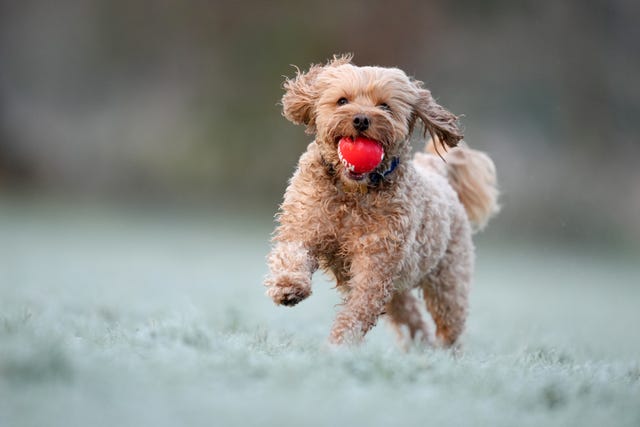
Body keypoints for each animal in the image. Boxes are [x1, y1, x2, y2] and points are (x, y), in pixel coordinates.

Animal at [262, 54, 498, 348]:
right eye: (342, 101)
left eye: (384, 106)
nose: (361, 119)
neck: (352, 192)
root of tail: (437, 172)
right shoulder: (304, 224)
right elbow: (291, 253)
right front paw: (288, 287)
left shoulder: (377, 262)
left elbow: (360, 307)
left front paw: (339, 345)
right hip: (400, 292)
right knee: (412, 320)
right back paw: (422, 350)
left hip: (448, 279)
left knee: (449, 324)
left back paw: (443, 355)